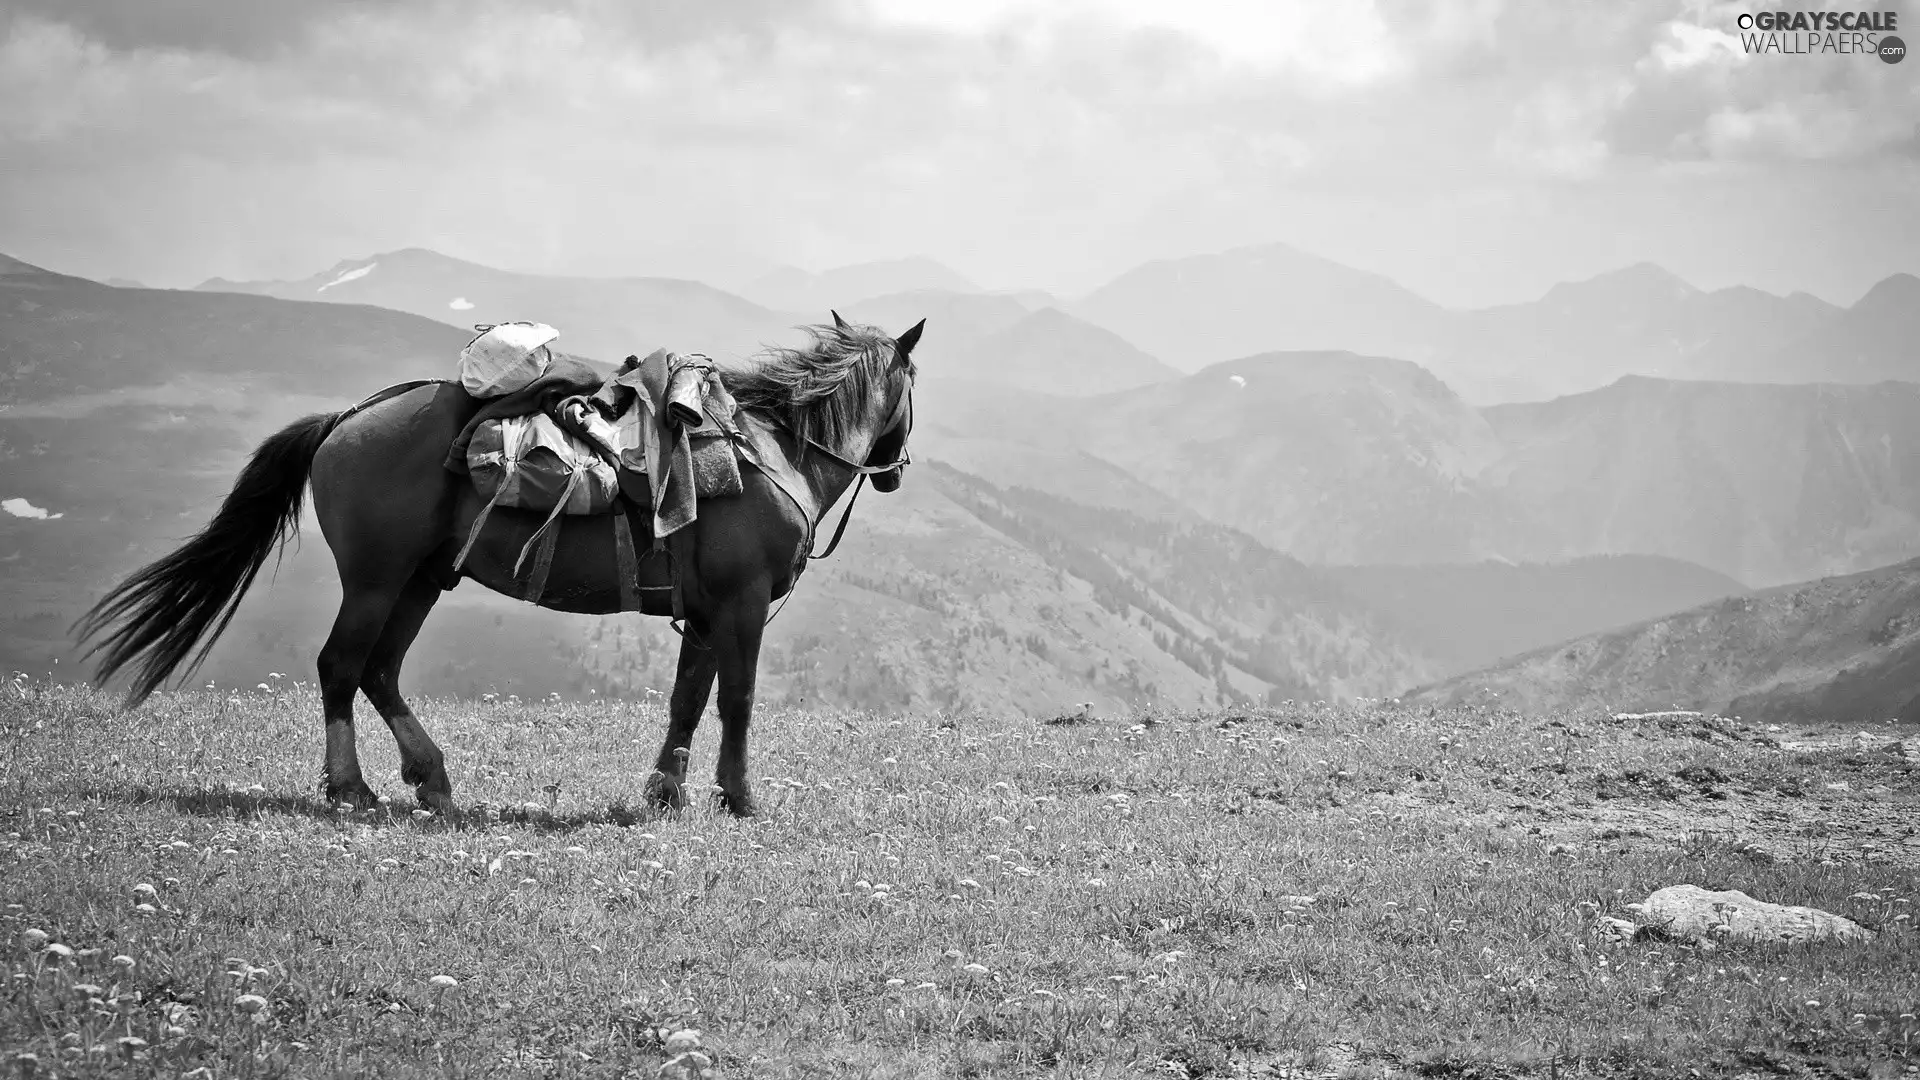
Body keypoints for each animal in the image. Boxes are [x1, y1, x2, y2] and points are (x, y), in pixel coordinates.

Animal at [67, 313, 921, 814]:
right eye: (913, 385)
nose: (895, 470)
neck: (776, 453)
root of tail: (345, 421)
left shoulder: (706, 613)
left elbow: (687, 700)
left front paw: (666, 794)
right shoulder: (741, 605)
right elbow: (736, 701)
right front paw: (739, 798)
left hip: (422, 580)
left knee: (379, 671)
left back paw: (431, 779)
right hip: (376, 579)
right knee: (341, 666)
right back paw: (352, 787)